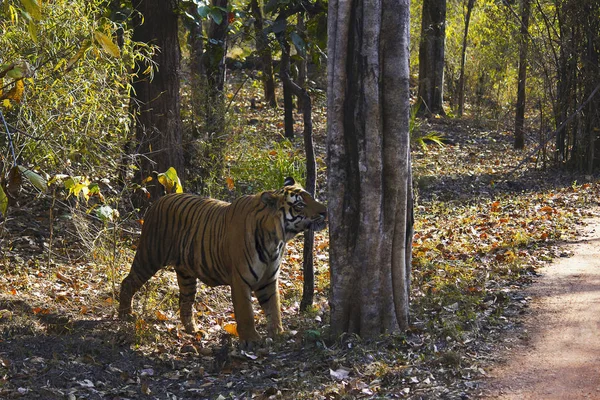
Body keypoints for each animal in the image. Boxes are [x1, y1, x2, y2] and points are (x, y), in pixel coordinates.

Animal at [119, 177, 328, 348]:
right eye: (299, 205)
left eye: (311, 198)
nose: (325, 212)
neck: (275, 239)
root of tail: (160, 200)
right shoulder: (240, 279)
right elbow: (246, 312)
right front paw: (251, 340)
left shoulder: (269, 279)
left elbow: (274, 307)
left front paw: (278, 334)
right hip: (149, 256)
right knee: (127, 281)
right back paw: (125, 315)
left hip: (186, 273)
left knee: (185, 301)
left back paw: (193, 330)